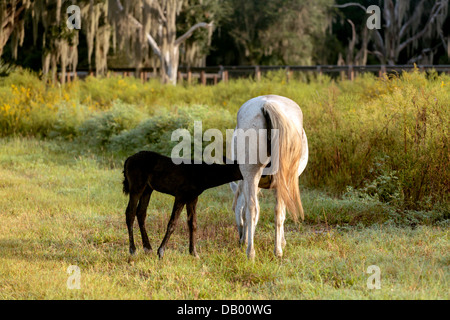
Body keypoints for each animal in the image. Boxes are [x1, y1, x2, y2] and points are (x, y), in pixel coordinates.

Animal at [229, 95, 306, 260]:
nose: (239, 239)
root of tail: (267, 103)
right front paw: (282, 242)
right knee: (271, 211)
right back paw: (270, 251)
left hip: (253, 174)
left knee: (253, 208)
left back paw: (255, 252)